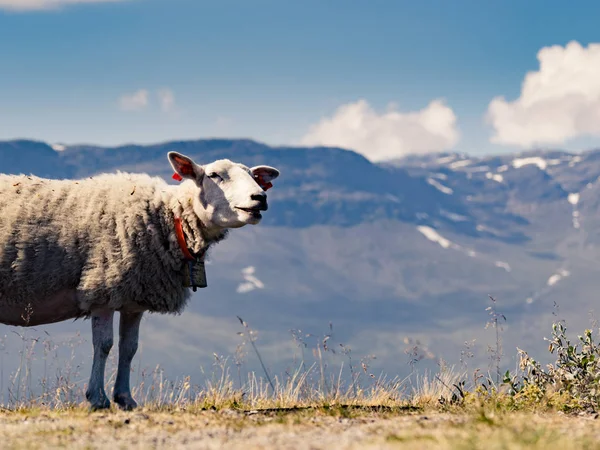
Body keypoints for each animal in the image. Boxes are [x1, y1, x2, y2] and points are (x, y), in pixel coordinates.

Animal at [0, 152, 280, 412]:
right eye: (214, 175)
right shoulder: (102, 287)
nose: (260, 198)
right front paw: (97, 398)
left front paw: (125, 398)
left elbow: (129, 348)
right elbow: (104, 345)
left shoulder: (134, 298)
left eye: (255, 177)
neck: (170, 219)